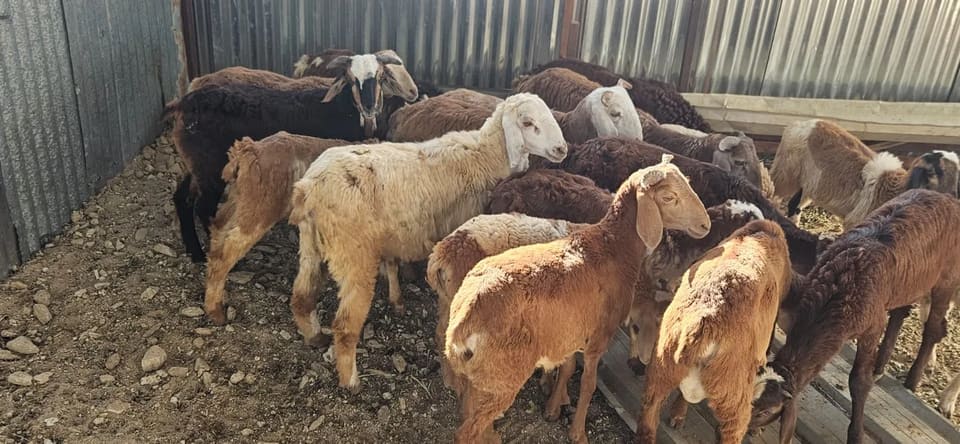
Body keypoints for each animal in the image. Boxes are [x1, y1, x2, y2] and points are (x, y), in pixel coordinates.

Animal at [167, 52, 401, 262]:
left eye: (381, 77)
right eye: (351, 79)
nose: (370, 107)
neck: (344, 107)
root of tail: (185, 103)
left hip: (196, 163)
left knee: (183, 198)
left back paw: (195, 252)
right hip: (211, 168)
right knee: (204, 208)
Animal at [288, 93, 568, 390]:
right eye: (527, 123)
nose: (562, 149)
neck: (485, 154)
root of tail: (309, 188)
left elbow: (392, 264)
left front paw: (397, 299)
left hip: (311, 244)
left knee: (301, 298)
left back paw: (315, 337)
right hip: (354, 254)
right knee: (344, 326)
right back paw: (351, 379)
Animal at [444, 155, 710, 444]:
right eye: (669, 197)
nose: (705, 225)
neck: (614, 247)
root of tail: (465, 316)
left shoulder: (572, 329)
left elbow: (568, 367)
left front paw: (554, 407)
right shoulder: (599, 336)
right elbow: (588, 385)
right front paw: (578, 432)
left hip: (480, 373)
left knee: (469, 410)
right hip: (503, 373)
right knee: (466, 431)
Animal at [637, 220, 791, 444]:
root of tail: (705, 325)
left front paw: (677, 414)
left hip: (661, 367)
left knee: (648, 416)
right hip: (734, 397)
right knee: (732, 431)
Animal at [750, 189, 960, 444]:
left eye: (765, 411)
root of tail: (946, 198)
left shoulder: (872, 325)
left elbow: (859, 381)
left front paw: (856, 434)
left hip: (947, 279)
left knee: (932, 328)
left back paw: (912, 379)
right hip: (910, 281)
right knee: (903, 312)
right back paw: (882, 366)